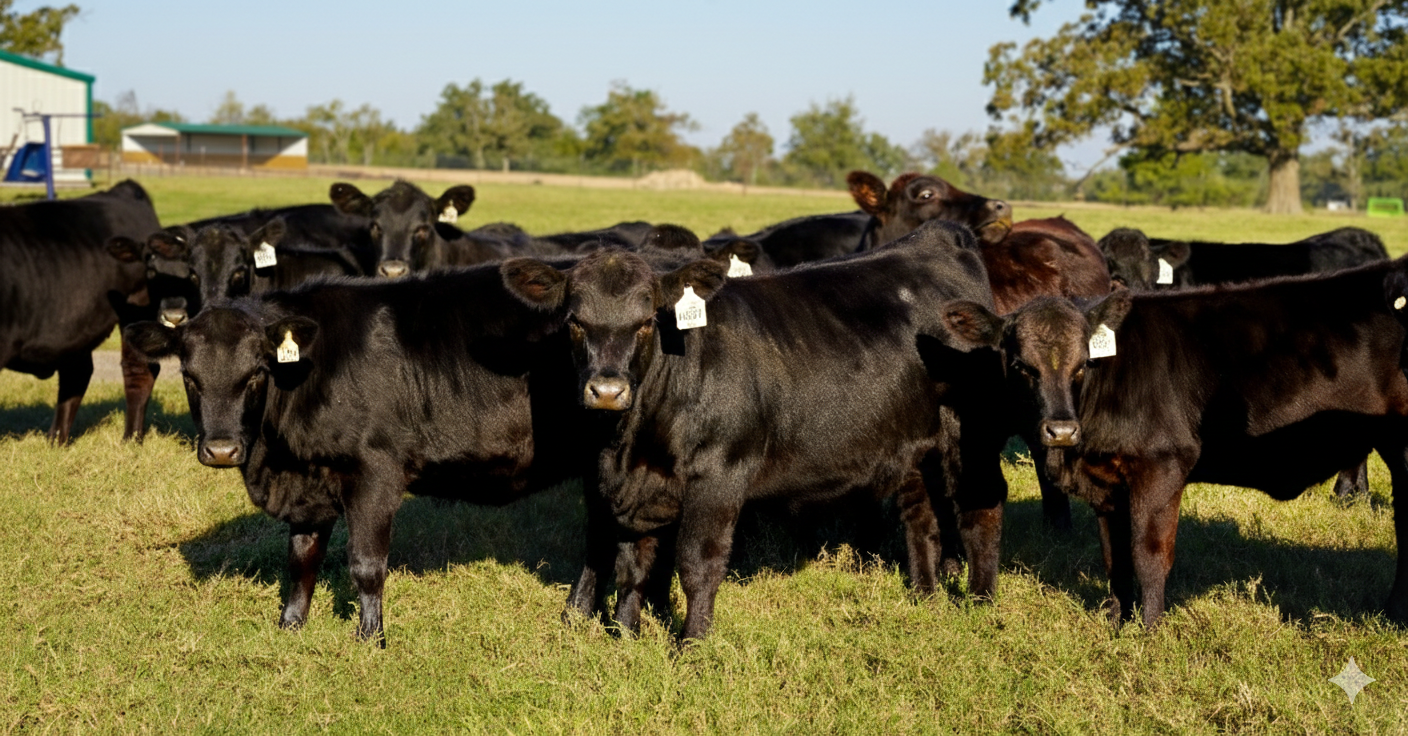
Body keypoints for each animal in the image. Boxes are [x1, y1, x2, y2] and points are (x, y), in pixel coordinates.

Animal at [1, 179, 161, 443]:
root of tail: (121, 190)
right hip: (76, 323)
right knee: (76, 374)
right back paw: (56, 440)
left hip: (136, 306)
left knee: (139, 371)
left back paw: (130, 440)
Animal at [123, 261, 602, 644]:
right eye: (189, 376)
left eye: (257, 373)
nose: (222, 449)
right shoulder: (309, 484)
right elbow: (301, 559)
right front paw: (290, 625)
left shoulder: (374, 473)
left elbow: (367, 565)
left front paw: (370, 638)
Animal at [500, 220, 1010, 640]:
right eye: (574, 322)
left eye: (646, 322)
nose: (606, 391)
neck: (630, 440)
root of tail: (938, 237)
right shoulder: (630, 487)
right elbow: (633, 563)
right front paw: (625, 637)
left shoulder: (719, 476)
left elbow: (697, 564)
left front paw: (691, 644)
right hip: (914, 447)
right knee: (921, 518)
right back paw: (924, 597)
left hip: (972, 433)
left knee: (980, 508)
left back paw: (980, 603)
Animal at [938, 260, 1408, 629]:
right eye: (1021, 366)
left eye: (1083, 363)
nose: (1061, 430)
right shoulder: (1108, 481)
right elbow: (1115, 555)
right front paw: (1116, 620)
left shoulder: (1162, 465)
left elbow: (1148, 553)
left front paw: (1149, 630)